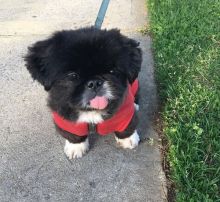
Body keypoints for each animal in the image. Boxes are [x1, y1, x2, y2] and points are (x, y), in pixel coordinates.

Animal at [24, 27, 142, 159]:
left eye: (112, 71)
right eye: (73, 75)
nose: (94, 82)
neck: (91, 111)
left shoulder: (125, 114)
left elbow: (127, 127)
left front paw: (128, 139)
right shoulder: (66, 119)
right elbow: (73, 135)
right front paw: (76, 147)